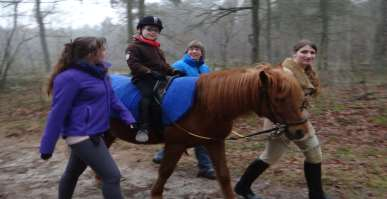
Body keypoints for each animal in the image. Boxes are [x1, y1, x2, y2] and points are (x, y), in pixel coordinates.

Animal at [105, 64, 310, 198]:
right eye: (279, 99)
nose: (300, 131)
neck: (204, 103)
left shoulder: (214, 142)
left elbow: (224, 176)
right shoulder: (175, 144)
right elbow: (164, 172)